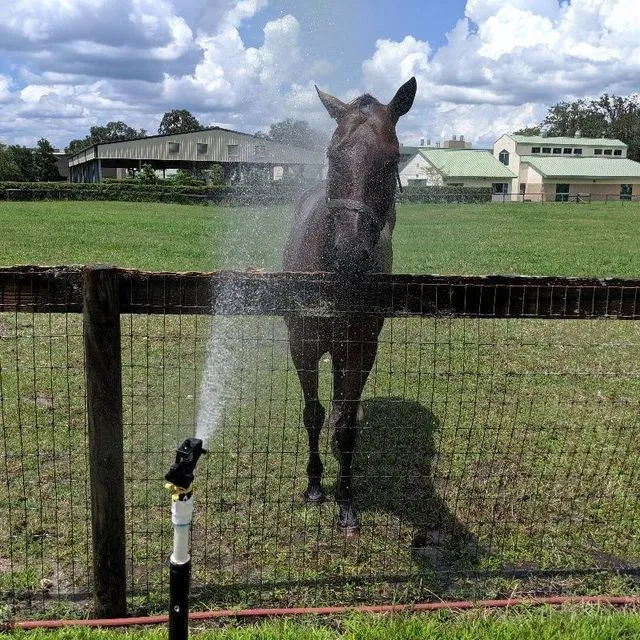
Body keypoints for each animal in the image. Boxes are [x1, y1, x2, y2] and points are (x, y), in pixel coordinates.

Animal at [283, 77, 417, 535]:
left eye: (392, 161)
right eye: (331, 155)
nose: (349, 255)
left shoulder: (360, 349)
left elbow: (344, 427)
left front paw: (345, 502)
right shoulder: (302, 344)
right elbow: (313, 413)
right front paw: (314, 486)